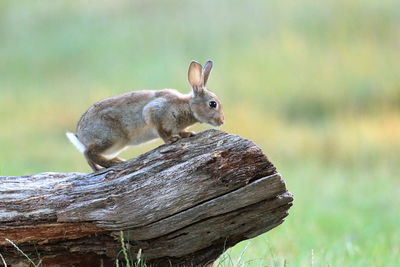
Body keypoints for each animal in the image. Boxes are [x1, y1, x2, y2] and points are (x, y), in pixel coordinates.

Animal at [67, 60, 227, 171]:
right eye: (213, 104)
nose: (221, 121)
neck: (187, 106)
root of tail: (80, 136)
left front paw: (188, 134)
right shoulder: (154, 112)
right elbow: (159, 130)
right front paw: (171, 140)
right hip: (111, 138)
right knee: (88, 152)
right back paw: (113, 162)